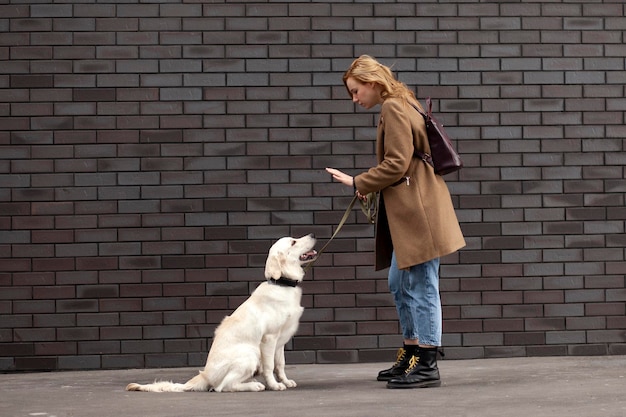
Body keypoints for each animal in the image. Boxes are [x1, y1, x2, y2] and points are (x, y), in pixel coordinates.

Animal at [125, 236, 314, 392]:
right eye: (293, 242)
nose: (313, 235)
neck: (282, 284)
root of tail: (205, 376)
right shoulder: (269, 338)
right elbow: (269, 366)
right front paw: (274, 385)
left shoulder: (280, 340)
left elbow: (280, 364)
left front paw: (286, 381)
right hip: (249, 353)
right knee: (223, 387)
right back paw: (254, 385)